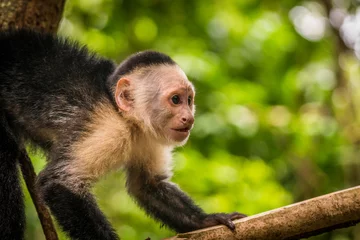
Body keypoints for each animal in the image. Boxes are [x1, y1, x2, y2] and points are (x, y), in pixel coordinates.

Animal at [0, 30, 246, 240]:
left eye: (189, 100)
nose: (189, 118)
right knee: (6, 151)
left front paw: (206, 220)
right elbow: (59, 183)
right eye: (175, 100)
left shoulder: (149, 138)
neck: (127, 120)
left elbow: (147, 185)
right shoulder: (107, 129)